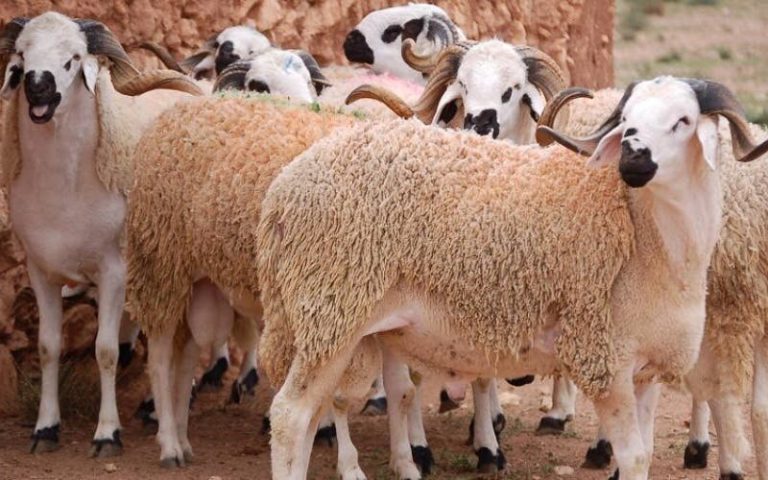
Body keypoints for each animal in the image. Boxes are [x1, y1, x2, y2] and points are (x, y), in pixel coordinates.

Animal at [0, 12, 201, 457]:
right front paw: (45, 429)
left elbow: (105, 351)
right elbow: (48, 347)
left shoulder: (114, 272)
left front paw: (107, 434)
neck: (66, 189)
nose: (37, 84)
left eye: (74, 58)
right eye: (21, 53)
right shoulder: (41, 270)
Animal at [255, 76, 768, 480]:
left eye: (683, 120)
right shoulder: (604, 360)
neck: (650, 238)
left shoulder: (645, 370)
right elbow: (637, 458)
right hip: (330, 314)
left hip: (333, 325)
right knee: (289, 416)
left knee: (310, 418)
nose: (633, 160)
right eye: (627, 121)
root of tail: (284, 188)